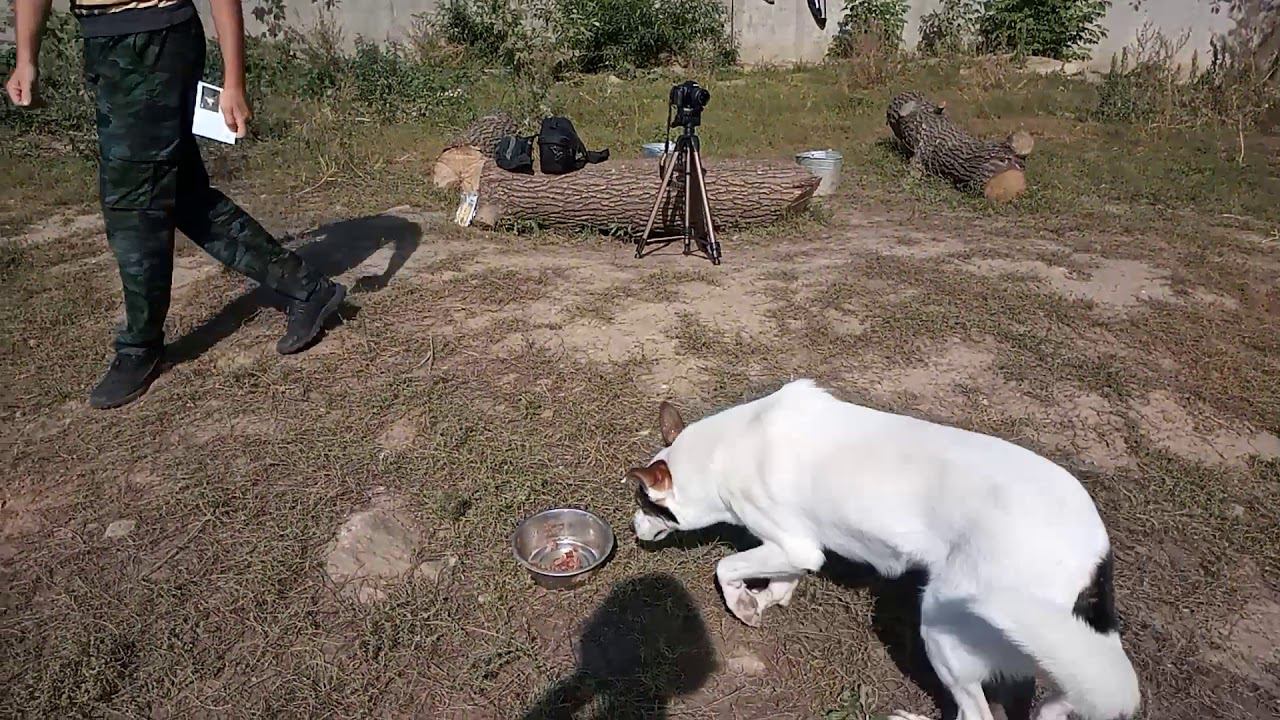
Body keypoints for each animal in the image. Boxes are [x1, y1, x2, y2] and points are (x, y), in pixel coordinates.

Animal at [628, 379, 1139, 720]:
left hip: (946, 628)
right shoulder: (798, 548)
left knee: (976, 714)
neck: (724, 451)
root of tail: (1095, 554)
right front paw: (771, 596)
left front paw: (743, 603)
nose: (633, 530)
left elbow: (726, 566)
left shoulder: (793, 544)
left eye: (647, 504)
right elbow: (784, 576)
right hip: (1063, 651)